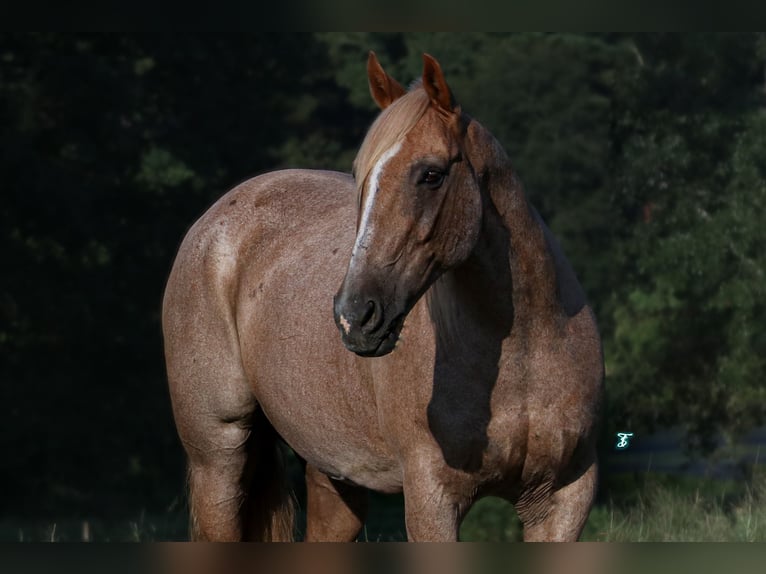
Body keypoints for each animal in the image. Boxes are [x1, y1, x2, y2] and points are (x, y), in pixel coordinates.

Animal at [164, 51, 608, 544]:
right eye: (362, 177)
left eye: (431, 174)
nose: (354, 316)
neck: (526, 352)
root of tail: (214, 221)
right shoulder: (432, 498)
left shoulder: (562, 501)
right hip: (218, 453)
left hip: (332, 475)